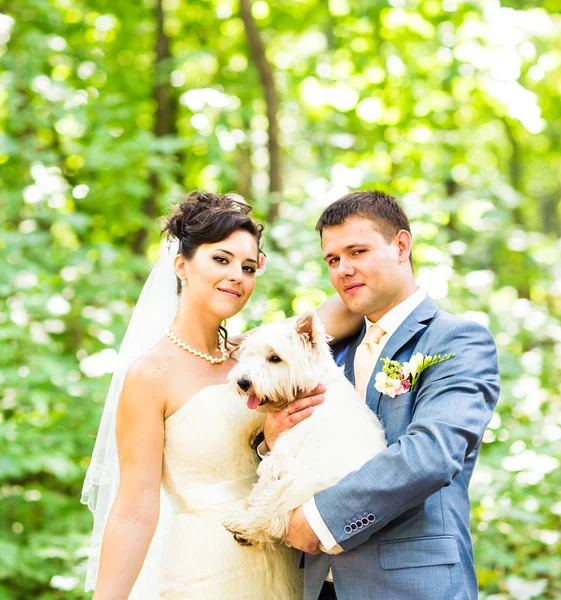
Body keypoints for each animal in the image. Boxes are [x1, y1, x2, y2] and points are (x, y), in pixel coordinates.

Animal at [222, 312, 384, 552]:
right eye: (250, 354)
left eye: (275, 358)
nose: (242, 382)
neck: (317, 385)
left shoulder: (282, 456)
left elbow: (264, 489)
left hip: (297, 481)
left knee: (271, 516)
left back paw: (242, 525)